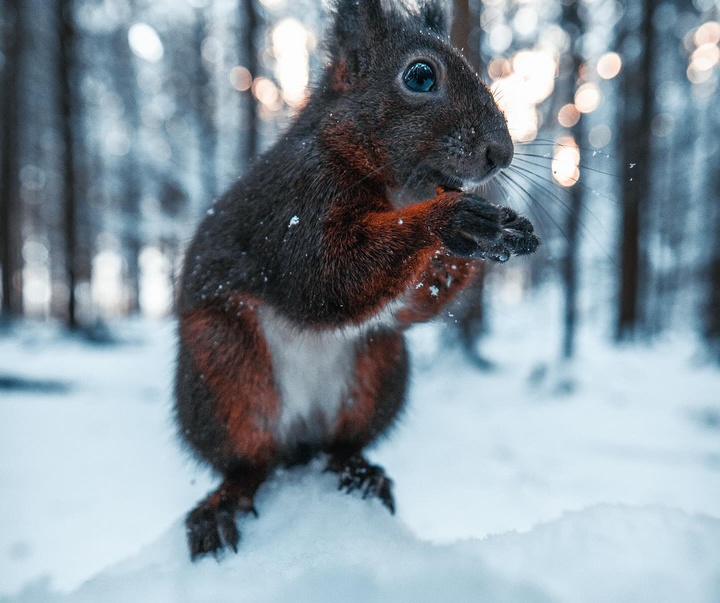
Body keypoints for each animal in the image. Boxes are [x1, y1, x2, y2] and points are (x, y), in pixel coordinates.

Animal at [174, 0, 536, 560]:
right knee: (249, 462)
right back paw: (224, 502)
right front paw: (451, 220)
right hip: (224, 369)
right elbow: (327, 279)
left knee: (341, 444)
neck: (401, 189)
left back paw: (358, 469)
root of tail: (301, 440)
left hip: (380, 367)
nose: (503, 154)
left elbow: (407, 304)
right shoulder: (297, 202)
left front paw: (498, 230)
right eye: (420, 76)